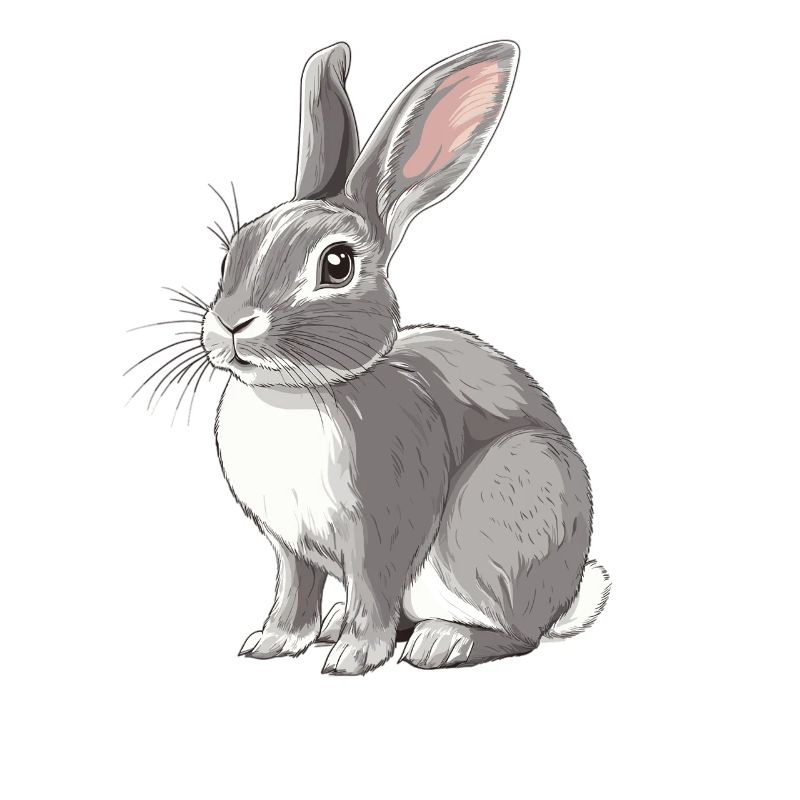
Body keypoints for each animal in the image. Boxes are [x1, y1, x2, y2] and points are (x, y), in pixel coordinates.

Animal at [200, 40, 610, 675]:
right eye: (231, 254)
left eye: (337, 265)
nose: (231, 324)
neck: (295, 394)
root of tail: (564, 599)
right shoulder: (289, 547)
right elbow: (294, 592)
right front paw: (271, 642)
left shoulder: (383, 532)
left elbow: (373, 590)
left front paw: (352, 658)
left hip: (494, 516)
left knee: (517, 635)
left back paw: (442, 642)